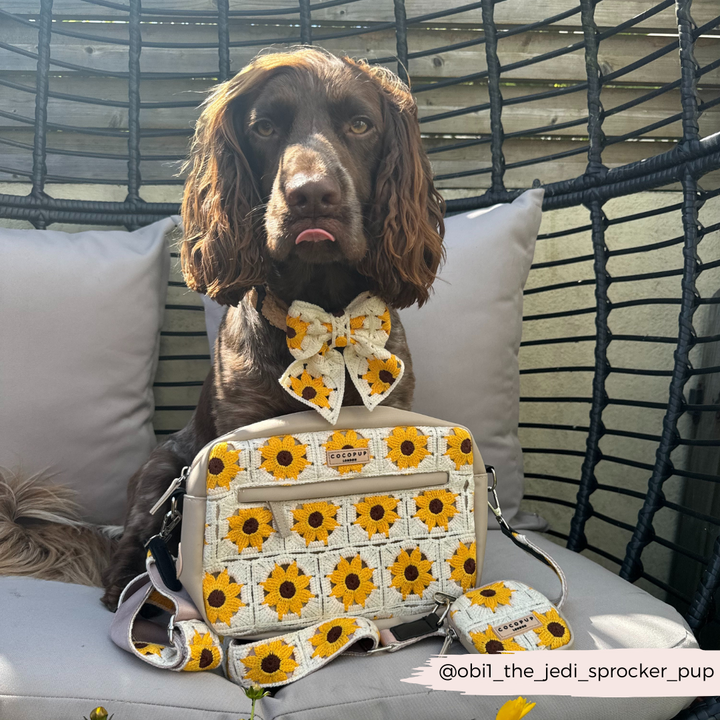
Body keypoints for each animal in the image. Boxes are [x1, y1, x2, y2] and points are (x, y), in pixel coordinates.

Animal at [101, 46, 444, 608]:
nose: (312, 195)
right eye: (264, 127)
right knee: (140, 528)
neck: (326, 318)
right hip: (162, 465)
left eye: (360, 124)